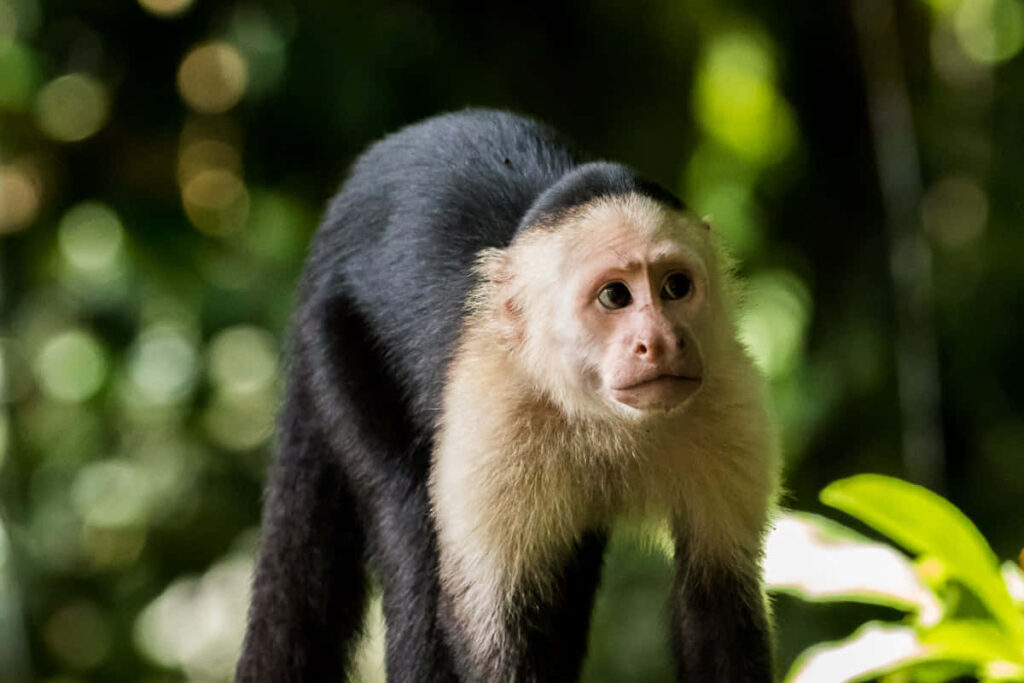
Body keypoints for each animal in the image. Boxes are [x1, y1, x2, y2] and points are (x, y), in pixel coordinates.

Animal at [236, 109, 780, 683]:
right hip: (335, 339)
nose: (659, 341)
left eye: (676, 287)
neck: (605, 417)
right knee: (410, 525)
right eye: (615, 296)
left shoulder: (731, 400)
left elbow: (719, 603)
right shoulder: (494, 413)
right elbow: (493, 629)